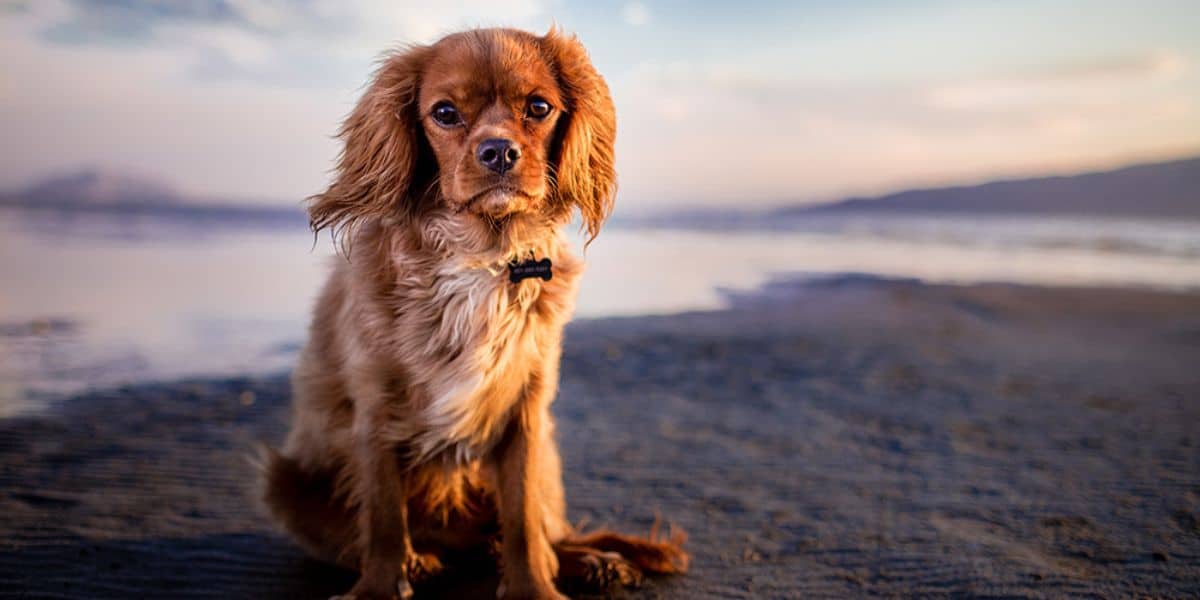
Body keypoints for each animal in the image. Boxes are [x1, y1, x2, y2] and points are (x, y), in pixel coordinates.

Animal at [264, 25, 691, 597]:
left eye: (538, 107)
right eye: (445, 113)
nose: (499, 152)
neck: (482, 256)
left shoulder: (527, 410)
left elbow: (523, 523)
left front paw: (534, 588)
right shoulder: (375, 409)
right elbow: (383, 518)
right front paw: (379, 587)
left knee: (545, 535)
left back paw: (594, 561)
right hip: (285, 482)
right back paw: (420, 559)